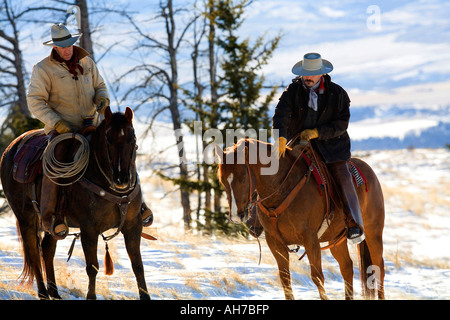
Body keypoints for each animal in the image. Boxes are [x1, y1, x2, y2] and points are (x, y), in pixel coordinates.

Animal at [0, 107, 151, 300]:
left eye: (132, 137)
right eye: (108, 137)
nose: (121, 179)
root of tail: (11, 148)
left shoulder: (133, 225)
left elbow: (138, 265)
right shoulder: (89, 229)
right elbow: (92, 267)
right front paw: (90, 297)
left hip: (53, 224)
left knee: (47, 250)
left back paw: (55, 293)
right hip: (26, 217)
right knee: (34, 252)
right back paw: (43, 293)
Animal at [216, 138, 384, 300]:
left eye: (243, 177)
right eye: (222, 179)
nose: (236, 216)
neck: (282, 188)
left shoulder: (310, 239)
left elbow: (317, 277)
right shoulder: (275, 242)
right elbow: (285, 280)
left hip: (373, 232)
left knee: (378, 267)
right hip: (336, 240)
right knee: (347, 267)